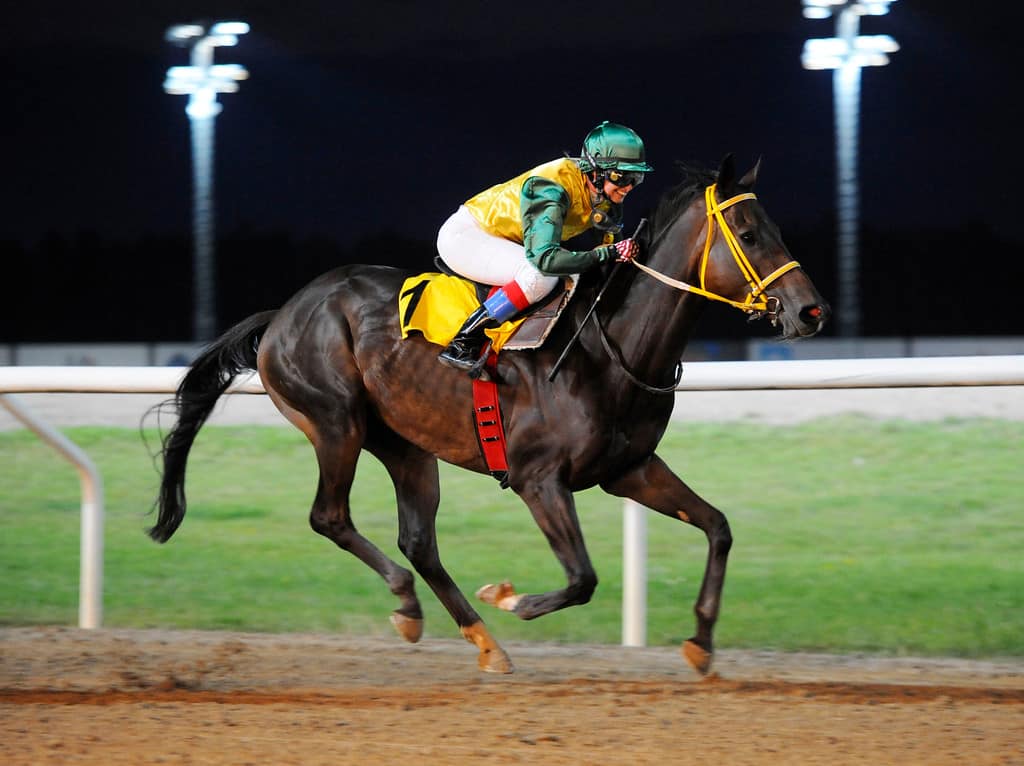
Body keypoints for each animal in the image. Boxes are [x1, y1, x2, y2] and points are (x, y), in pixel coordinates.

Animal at [149, 158, 823, 671]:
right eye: (749, 231)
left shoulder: (628, 468)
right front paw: (512, 598)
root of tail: (282, 314)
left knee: (417, 540)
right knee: (330, 517)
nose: (810, 311)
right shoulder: (538, 478)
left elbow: (718, 527)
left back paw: (478, 639)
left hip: (406, 443)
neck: (612, 346)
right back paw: (411, 604)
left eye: (774, 227)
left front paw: (701, 642)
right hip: (336, 422)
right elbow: (582, 578)